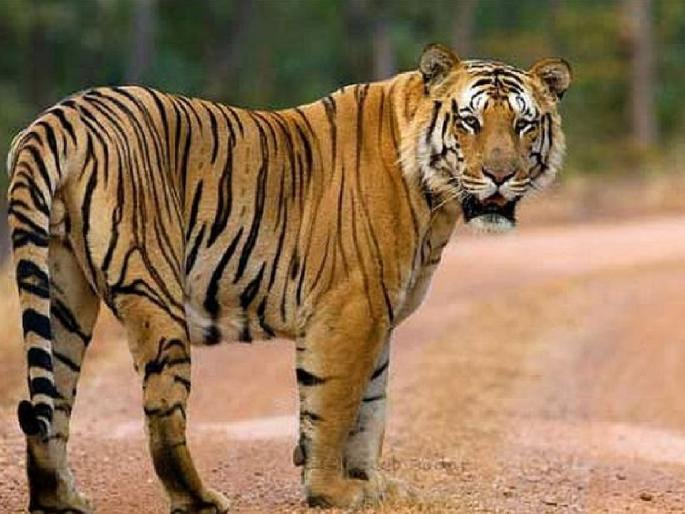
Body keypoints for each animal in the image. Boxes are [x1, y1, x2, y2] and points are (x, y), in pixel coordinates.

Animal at [7, 43, 571, 512]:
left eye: (524, 125)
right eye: (470, 122)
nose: (500, 176)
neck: (437, 204)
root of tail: (61, 115)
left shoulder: (378, 315)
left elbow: (372, 408)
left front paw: (371, 484)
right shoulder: (350, 311)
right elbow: (335, 405)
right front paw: (331, 491)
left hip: (63, 292)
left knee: (53, 401)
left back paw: (60, 499)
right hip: (154, 291)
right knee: (162, 410)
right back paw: (200, 499)